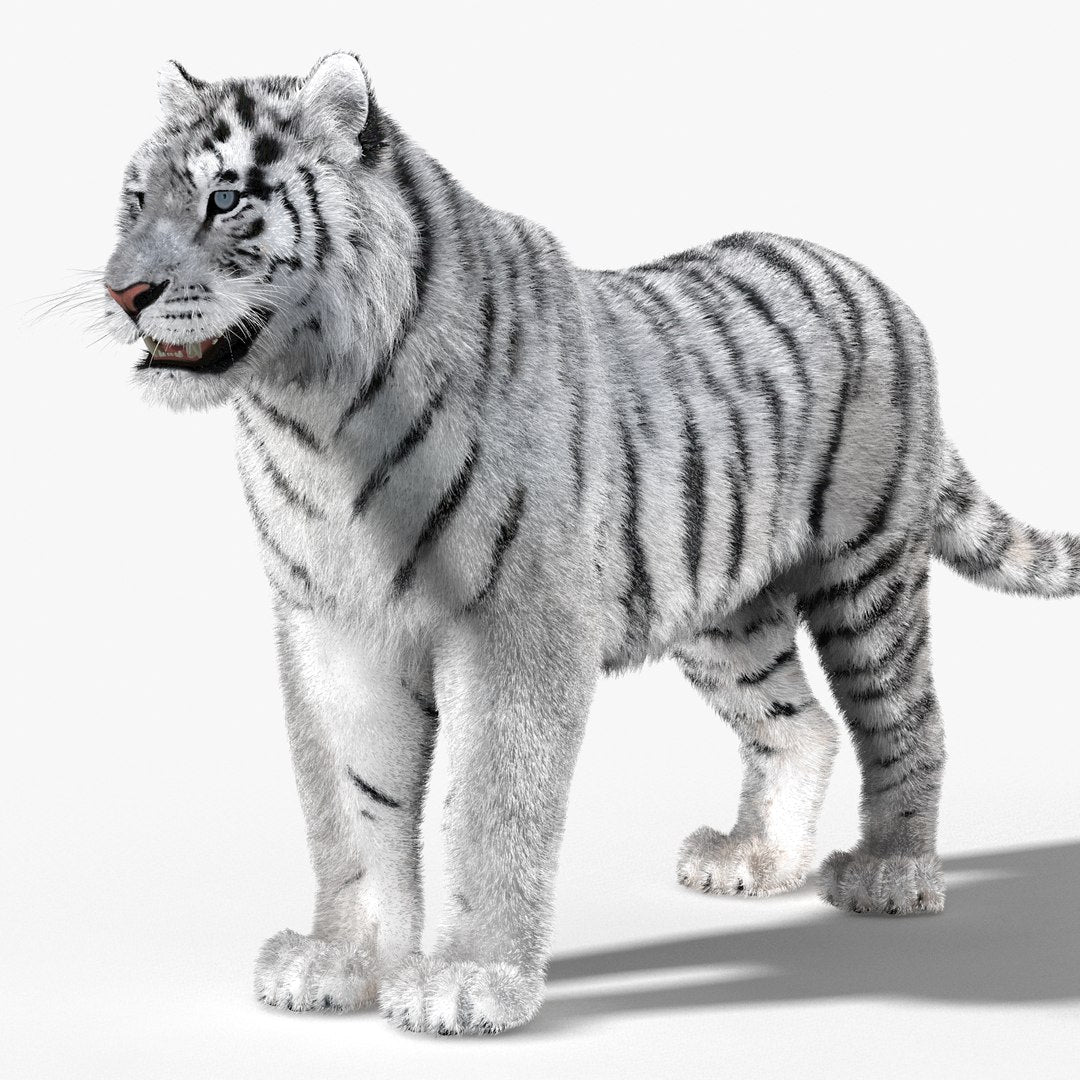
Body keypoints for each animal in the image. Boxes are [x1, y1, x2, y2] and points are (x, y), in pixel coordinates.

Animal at [101, 52, 1080, 1035]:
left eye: (226, 198)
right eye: (135, 199)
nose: (122, 293)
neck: (309, 410)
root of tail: (876, 283)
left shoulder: (515, 622)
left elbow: (488, 802)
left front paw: (469, 981)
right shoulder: (335, 624)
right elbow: (350, 802)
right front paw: (344, 961)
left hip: (866, 574)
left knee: (906, 718)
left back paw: (890, 874)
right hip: (725, 614)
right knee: (798, 726)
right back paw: (756, 861)